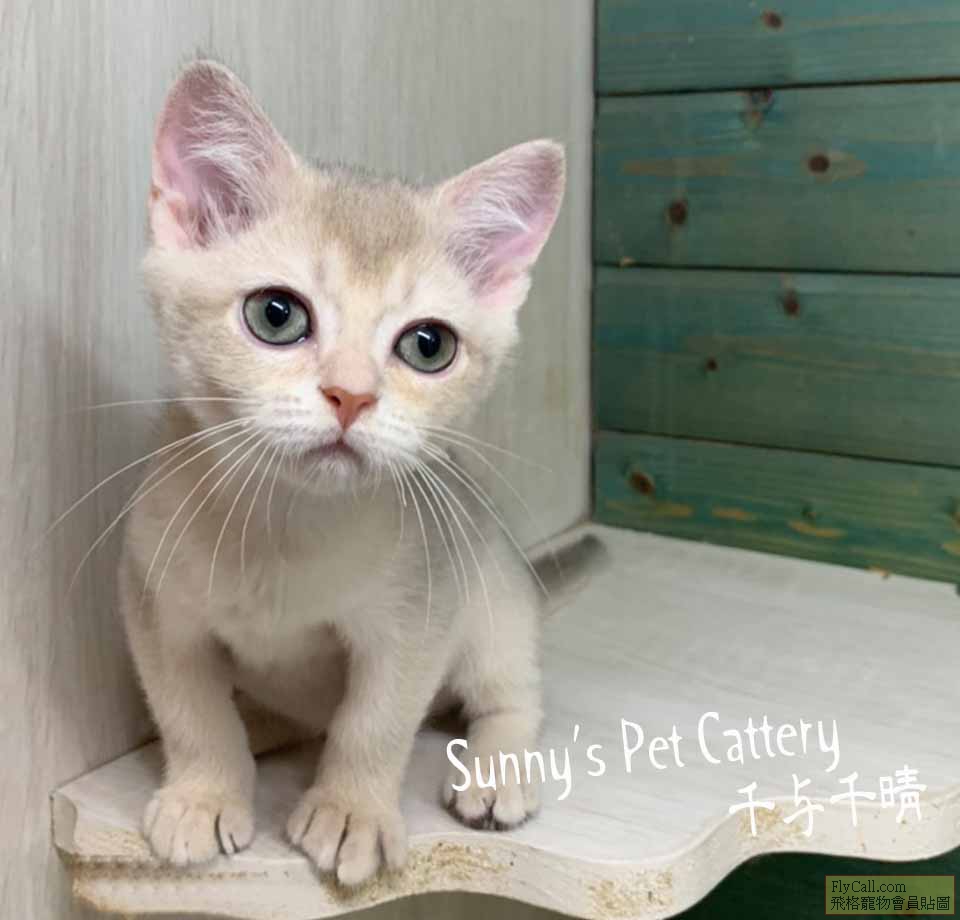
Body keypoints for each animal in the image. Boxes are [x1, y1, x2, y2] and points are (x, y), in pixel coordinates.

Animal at [120, 59, 570, 887]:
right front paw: (205, 792)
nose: (351, 395)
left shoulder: (420, 610)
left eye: (429, 345)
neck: (291, 530)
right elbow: (192, 710)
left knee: (511, 693)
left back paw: (495, 768)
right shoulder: (152, 595)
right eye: (276, 315)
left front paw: (351, 810)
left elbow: (376, 721)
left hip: (493, 592)